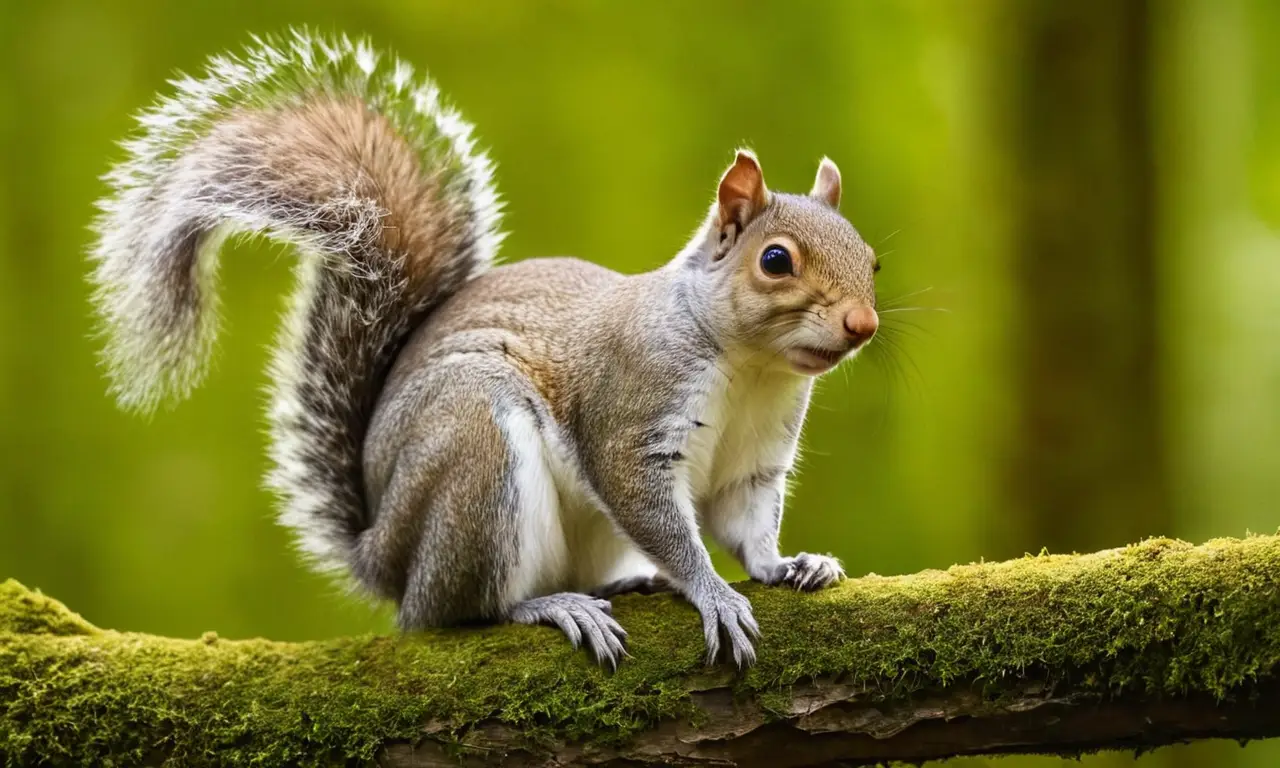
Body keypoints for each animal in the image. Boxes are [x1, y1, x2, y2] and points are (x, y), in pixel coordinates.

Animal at [88, 29, 880, 669]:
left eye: (872, 260)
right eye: (775, 260)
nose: (862, 325)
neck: (750, 368)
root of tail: (382, 552)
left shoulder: (753, 461)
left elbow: (745, 526)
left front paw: (787, 565)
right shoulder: (634, 413)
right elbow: (658, 514)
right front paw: (713, 593)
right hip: (476, 452)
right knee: (457, 612)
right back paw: (551, 606)